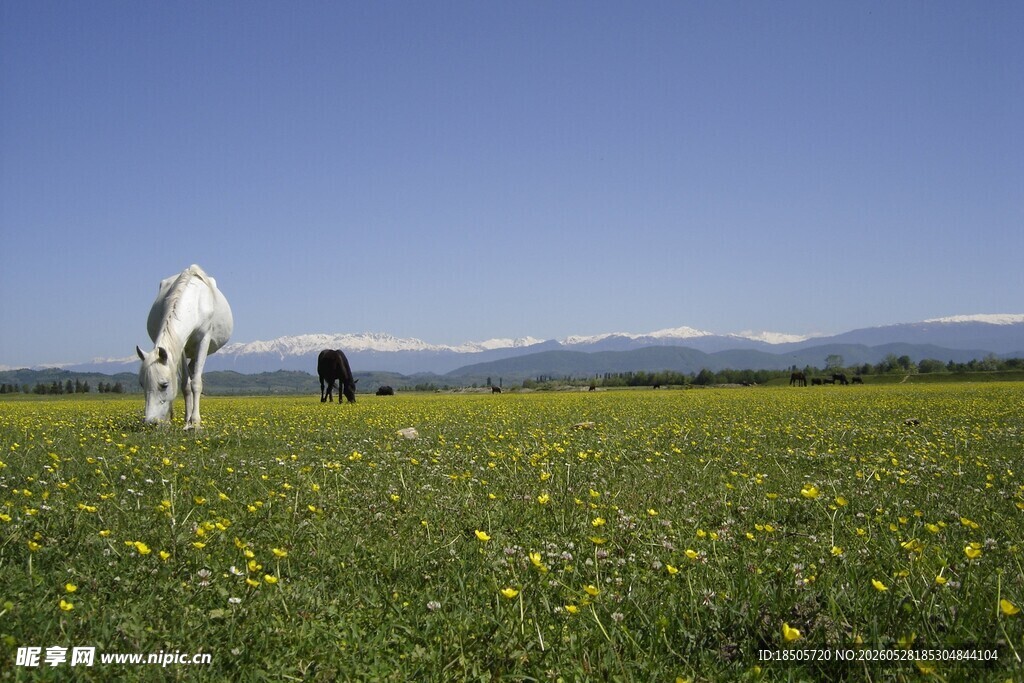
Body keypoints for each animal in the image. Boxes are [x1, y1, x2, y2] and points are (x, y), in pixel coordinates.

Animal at [136, 265, 233, 428]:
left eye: (164, 385)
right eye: (142, 384)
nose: (151, 422)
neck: (195, 304)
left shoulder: (203, 341)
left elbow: (196, 383)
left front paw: (195, 422)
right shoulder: (180, 346)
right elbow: (185, 386)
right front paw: (187, 420)